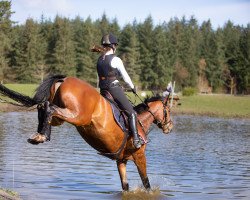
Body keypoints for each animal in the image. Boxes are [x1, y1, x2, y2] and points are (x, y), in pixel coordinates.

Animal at [0, 74, 174, 191]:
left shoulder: (121, 160)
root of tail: (64, 79)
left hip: (62, 117)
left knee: (44, 108)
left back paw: (40, 135)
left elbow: (125, 186)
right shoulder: (139, 156)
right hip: (77, 116)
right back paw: (42, 135)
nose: (170, 127)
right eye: (168, 110)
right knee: (49, 108)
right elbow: (146, 183)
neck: (140, 123)